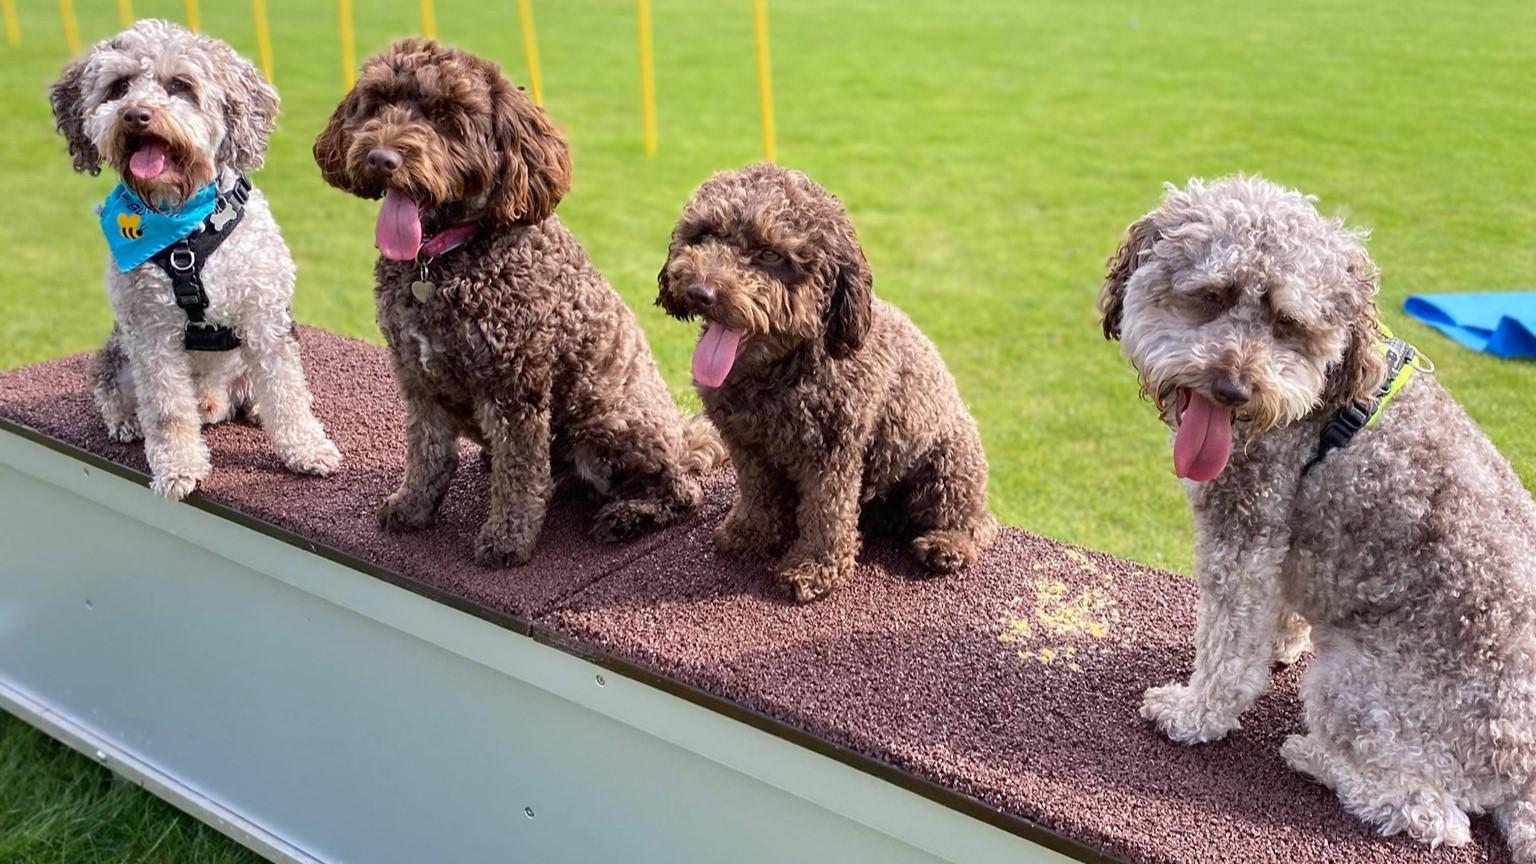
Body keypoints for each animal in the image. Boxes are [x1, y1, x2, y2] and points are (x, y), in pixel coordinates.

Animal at [316, 40, 724, 565]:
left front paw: (506, 540)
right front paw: (413, 506)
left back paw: (629, 514)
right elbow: (427, 453)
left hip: (606, 419)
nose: (381, 158)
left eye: (446, 117)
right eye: (379, 101)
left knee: (679, 488)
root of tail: (681, 436)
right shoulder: (415, 376)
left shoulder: (516, 386)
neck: (444, 258)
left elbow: (519, 475)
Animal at [657, 164, 995, 602]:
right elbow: (757, 493)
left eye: (770, 254)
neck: (778, 374)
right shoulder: (745, 444)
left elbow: (826, 513)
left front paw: (813, 568)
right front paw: (751, 534)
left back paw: (947, 544)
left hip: (950, 461)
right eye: (704, 235)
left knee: (974, 521)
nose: (701, 291)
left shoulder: (832, 454)